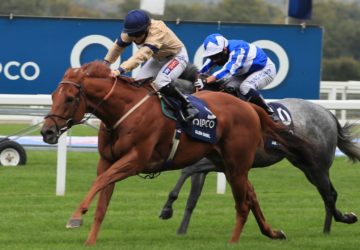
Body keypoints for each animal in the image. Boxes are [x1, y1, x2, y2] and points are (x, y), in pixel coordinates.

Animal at [40, 61, 316, 245]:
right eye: (53, 96)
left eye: (70, 98)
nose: (47, 132)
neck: (124, 111)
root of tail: (249, 108)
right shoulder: (107, 160)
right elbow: (102, 201)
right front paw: (89, 239)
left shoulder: (135, 160)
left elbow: (99, 183)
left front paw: (75, 217)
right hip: (227, 164)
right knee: (252, 195)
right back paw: (272, 232)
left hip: (236, 165)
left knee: (243, 204)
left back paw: (234, 242)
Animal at [161, 66, 360, 234]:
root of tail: (327, 113)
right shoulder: (211, 164)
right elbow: (192, 198)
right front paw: (180, 230)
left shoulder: (217, 162)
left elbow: (187, 171)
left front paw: (167, 208)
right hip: (306, 166)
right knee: (329, 193)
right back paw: (343, 219)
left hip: (318, 166)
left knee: (329, 194)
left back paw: (328, 229)